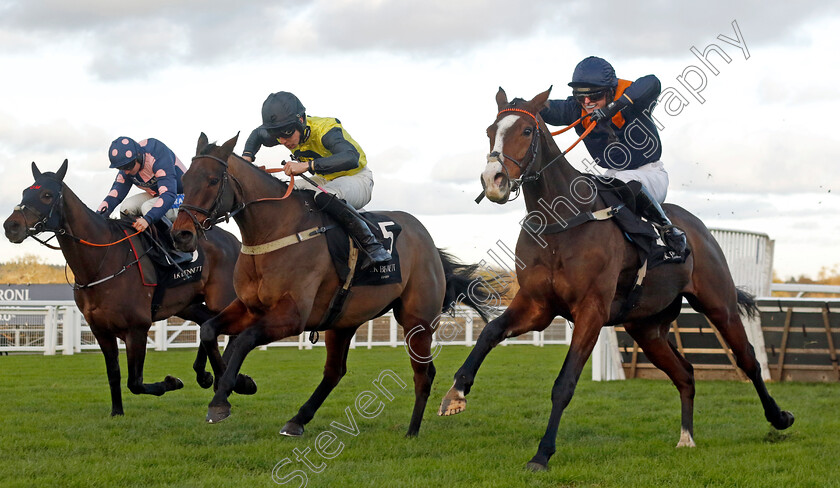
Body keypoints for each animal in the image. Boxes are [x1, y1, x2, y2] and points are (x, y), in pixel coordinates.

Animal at [3, 161, 253, 416]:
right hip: (186, 305)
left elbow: (135, 382)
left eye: (47, 194)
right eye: (24, 192)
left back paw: (231, 379)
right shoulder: (100, 330)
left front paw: (171, 382)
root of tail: (235, 241)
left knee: (229, 330)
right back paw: (206, 375)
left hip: (221, 298)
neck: (101, 262)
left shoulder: (137, 328)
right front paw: (117, 412)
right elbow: (114, 374)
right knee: (207, 324)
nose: (11, 225)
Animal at [173, 133, 496, 438]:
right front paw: (228, 381)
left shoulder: (292, 317)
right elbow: (209, 329)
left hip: (417, 320)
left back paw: (412, 430)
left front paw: (221, 400)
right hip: (342, 321)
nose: (181, 235)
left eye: (213, 180)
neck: (274, 233)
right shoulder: (248, 307)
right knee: (335, 372)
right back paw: (297, 421)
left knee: (423, 374)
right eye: (184, 181)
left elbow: (243, 340)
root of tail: (427, 240)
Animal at [440, 87, 796, 468]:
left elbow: (564, 384)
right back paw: (686, 437)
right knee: (685, 373)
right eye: (490, 131)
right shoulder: (537, 306)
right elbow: (490, 332)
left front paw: (542, 453)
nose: (494, 180)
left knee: (748, 359)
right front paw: (456, 393)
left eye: (526, 130)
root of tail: (697, 228)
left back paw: (779, 417)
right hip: (647, 328)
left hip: (719, 304)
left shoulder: (591, 311)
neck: (561, 222)